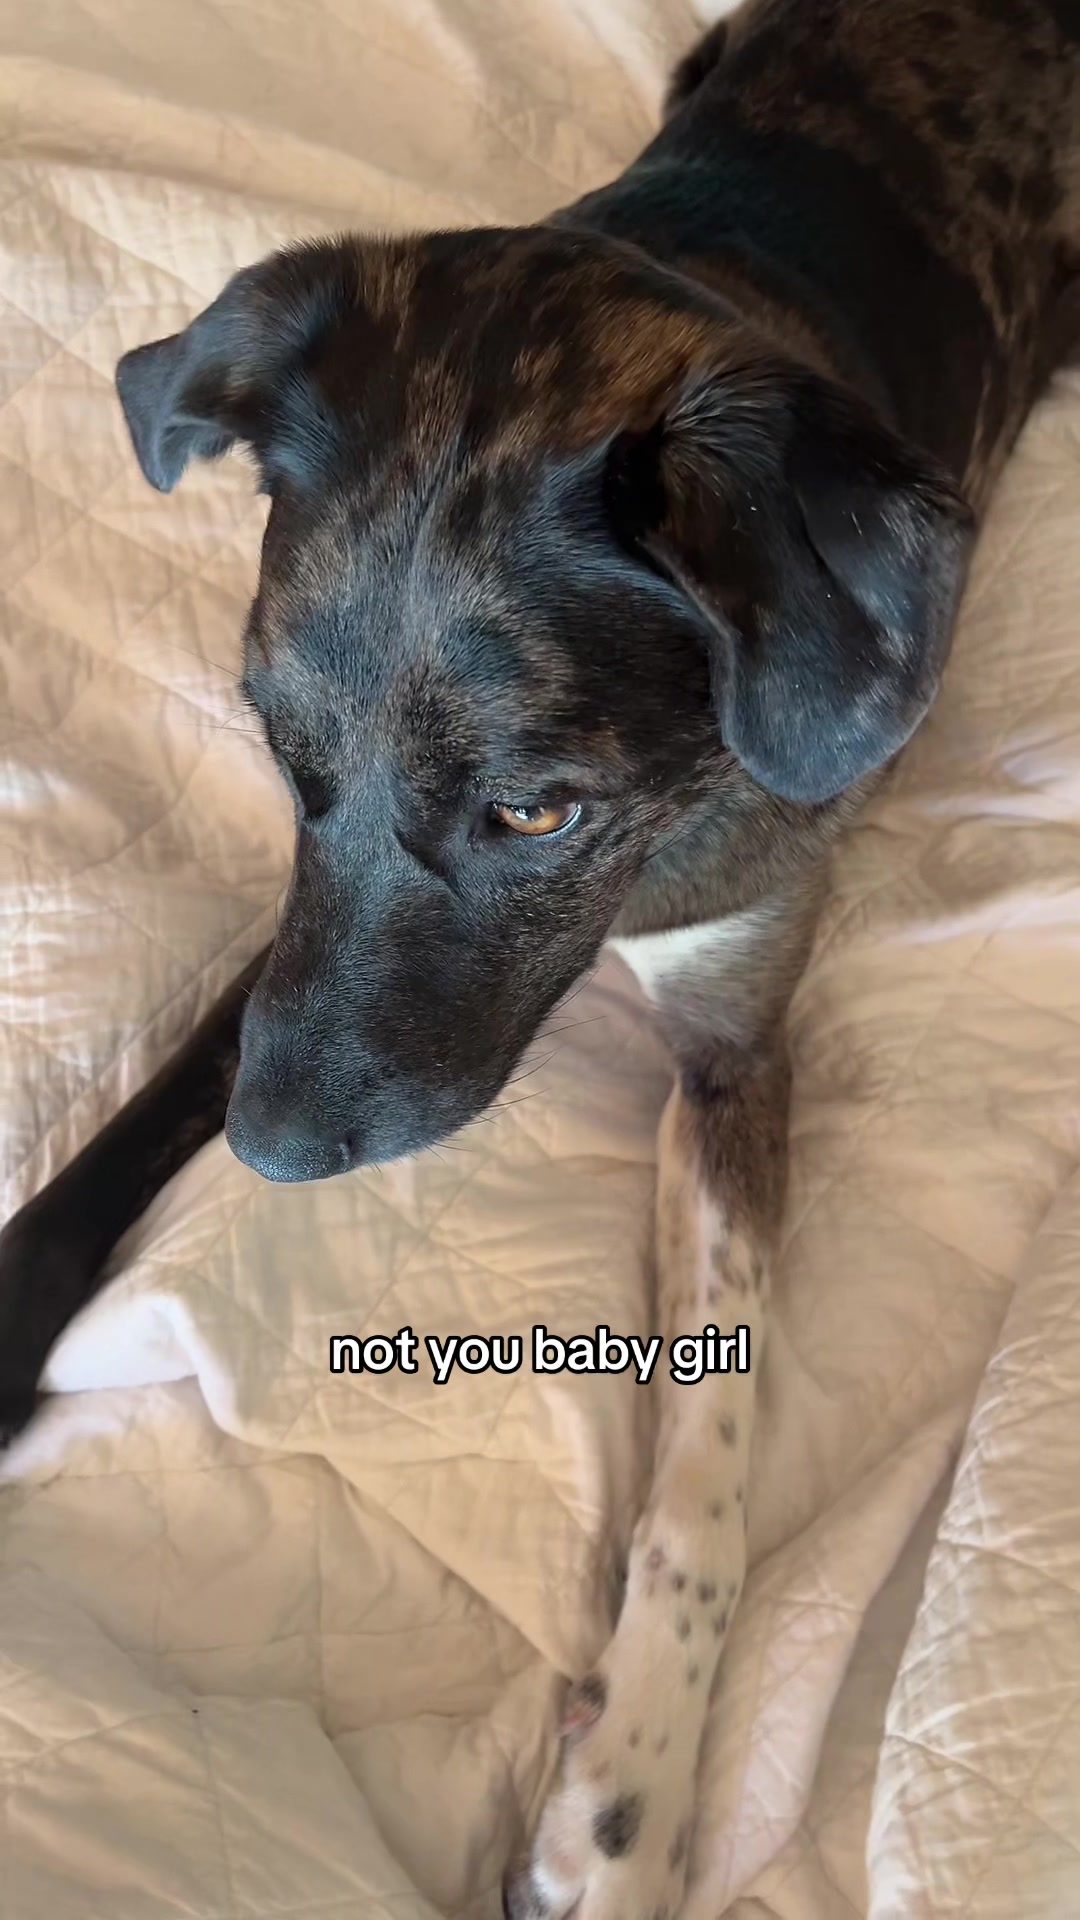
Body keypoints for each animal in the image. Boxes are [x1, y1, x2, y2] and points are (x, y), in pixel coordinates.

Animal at [2, 2, 1079, 1913]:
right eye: (277, 750)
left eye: (533, 812)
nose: (271, 1155)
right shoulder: (294, 949)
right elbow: (124, 1134)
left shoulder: (734, 1034)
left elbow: (715, 1430)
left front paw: (629, 1795)